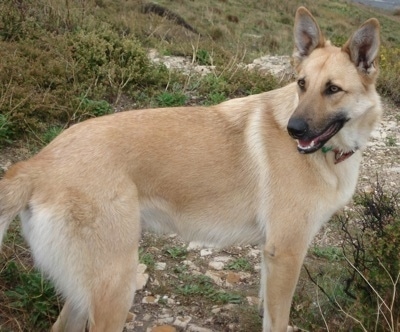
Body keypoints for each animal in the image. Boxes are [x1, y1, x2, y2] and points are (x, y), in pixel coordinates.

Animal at [0, 6, 382, 330]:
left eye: (332, 89)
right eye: (302, 84)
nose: (293, 129)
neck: (328, 154)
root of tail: (36, 164)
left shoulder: (270, 255)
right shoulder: (287, 253)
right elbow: (277, 319)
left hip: (88, 290)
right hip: (116, 286)